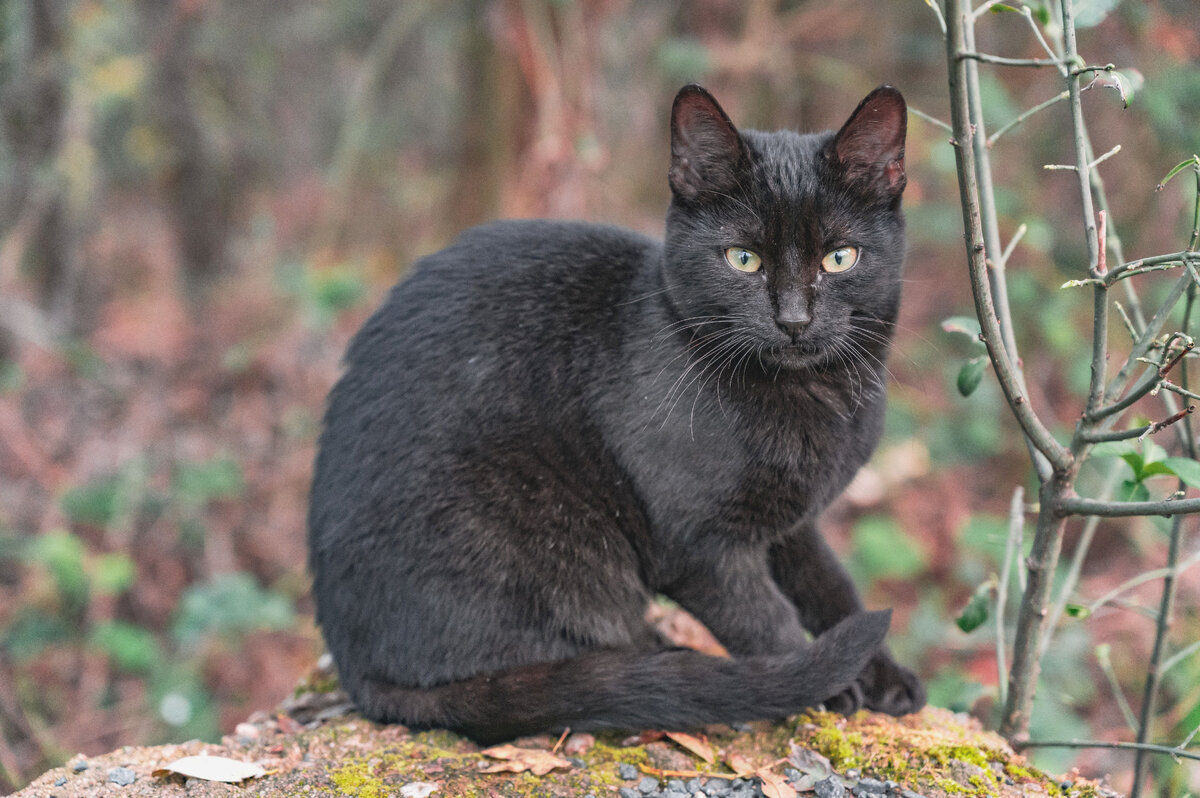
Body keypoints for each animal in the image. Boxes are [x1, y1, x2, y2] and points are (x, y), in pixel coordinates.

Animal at [309, 81, 926, 739]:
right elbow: (765, 617)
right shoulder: (701, 546)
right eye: (742, 259)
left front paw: (885, 675)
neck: (811, 397)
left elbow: (830, 586)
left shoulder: (792, 520)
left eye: (840, 258)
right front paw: (830, 687)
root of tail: (357, 670)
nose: (793, 320)